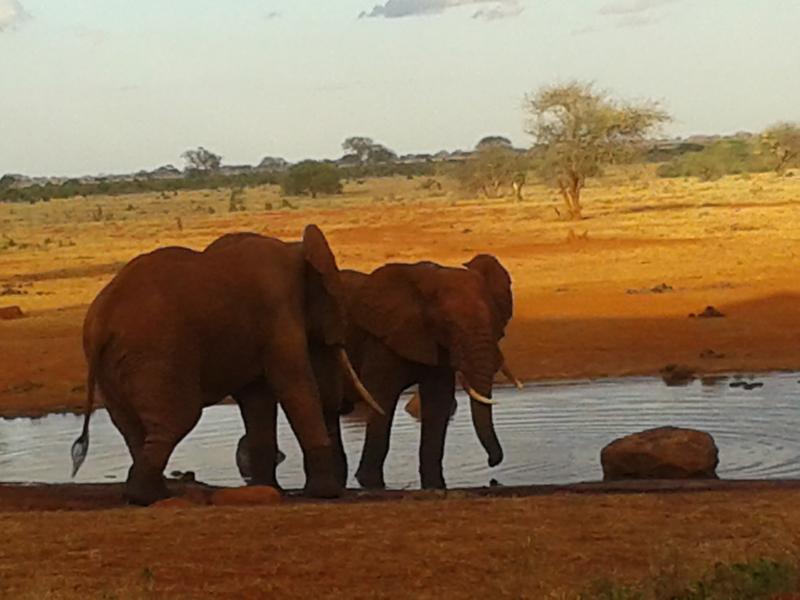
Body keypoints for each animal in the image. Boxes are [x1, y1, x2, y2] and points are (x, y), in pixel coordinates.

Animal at [71, 225, 380, 505]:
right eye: (337, 300)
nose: (344, 407)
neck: (296, 248)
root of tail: (101, 319)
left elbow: (257, 399)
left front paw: (271, 491)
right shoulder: (279, 311)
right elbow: (295, 387)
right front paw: (326, 494)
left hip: (113, 367)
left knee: (131, 426)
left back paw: (150, 494)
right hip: (154, 352)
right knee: (178, 417)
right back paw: (148, 496)